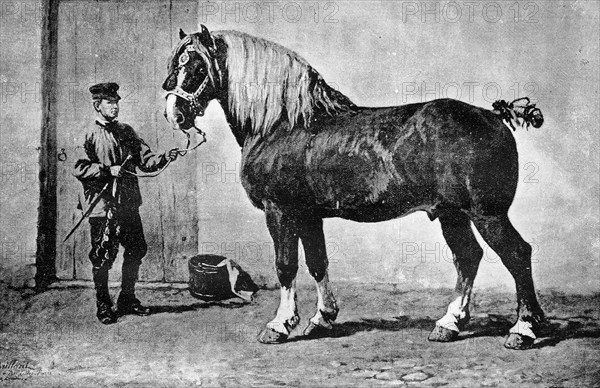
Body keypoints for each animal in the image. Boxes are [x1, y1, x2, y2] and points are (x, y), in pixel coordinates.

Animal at [162, 25, 548, 350]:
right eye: (177, 64)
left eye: (197, 67)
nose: (174, 114)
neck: (282, 123)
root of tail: (493, 116)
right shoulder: (309, 215)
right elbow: (317, 262)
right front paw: (321, 318)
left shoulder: (280, 212)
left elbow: (286, 265)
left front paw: (279, 325)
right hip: (451, 214)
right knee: (468, 258)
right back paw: (449, 324)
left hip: (488, 214)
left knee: (516, 254)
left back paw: (523, 329)